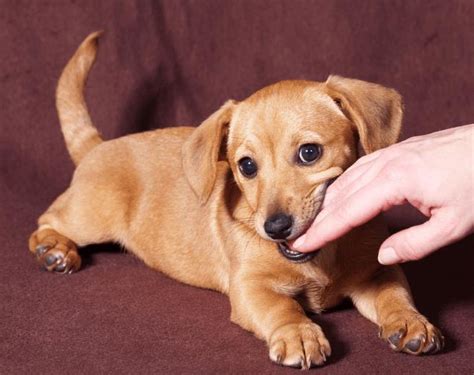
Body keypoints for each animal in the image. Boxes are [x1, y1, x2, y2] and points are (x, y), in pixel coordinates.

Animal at [30, 33, 444, 370]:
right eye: (246, 165)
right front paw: (298, 333)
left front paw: (411, 321)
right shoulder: (250, 287)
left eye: (309, 153)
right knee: (46, 219)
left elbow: (395, 295)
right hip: (90, 215)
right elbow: (283, 307)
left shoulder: (375, 273)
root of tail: (97, 146)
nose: (275, 227)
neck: (320, 258)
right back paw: (55, 249)